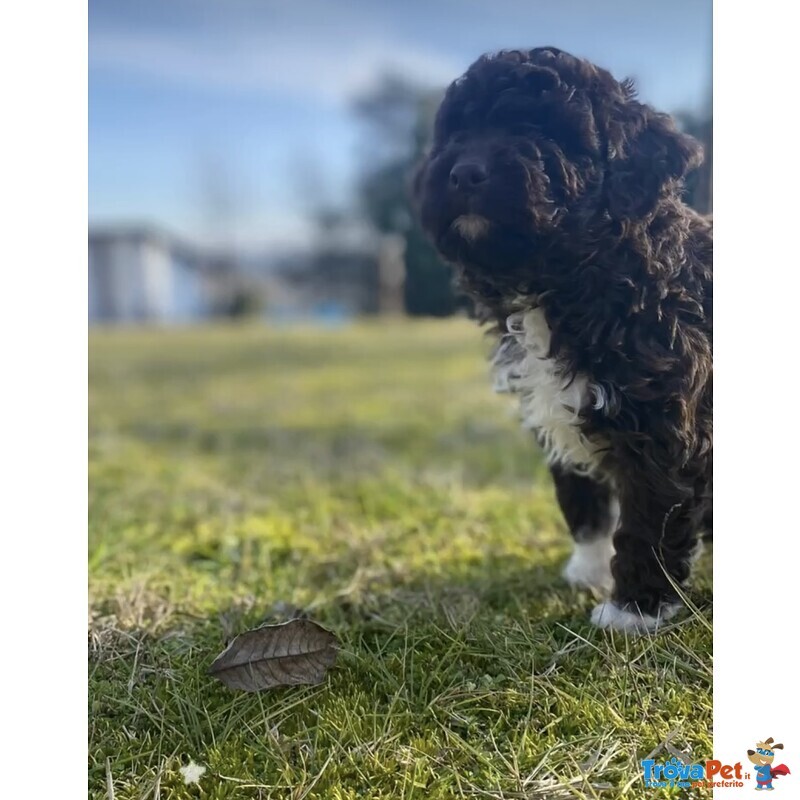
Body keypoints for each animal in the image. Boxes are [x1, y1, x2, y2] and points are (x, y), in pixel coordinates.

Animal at [412, 47, 712, 636]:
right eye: (458, 133)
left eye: (545, 130)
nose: (464, 172)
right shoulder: (558, 406)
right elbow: (583, 497)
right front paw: (589, 568)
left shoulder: (664, 422)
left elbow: (650, 514)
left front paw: (631, 611)